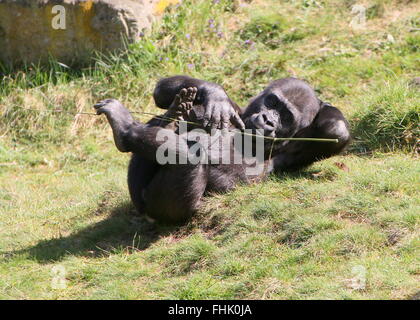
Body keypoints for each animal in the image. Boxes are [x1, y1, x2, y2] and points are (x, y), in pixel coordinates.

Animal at [95, 76, 352, 224]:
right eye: (273, 102)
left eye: (286, 117)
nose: (268, 120)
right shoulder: (237, 110)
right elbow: (162, 90)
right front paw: (215, 95)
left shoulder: (294, 149)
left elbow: (336, 132)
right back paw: (172, 115)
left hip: (163, 211)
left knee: (189, 159)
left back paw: (125, 131)